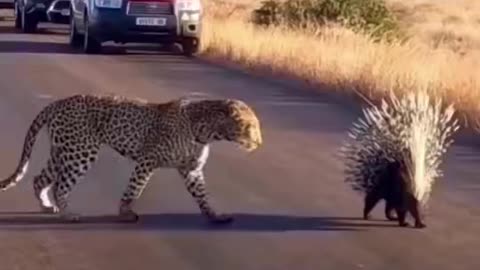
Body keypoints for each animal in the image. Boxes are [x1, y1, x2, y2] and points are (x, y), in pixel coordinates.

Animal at [0, 94, 262, 224]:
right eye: (251, 127)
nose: (260, 143)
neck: (207, 131)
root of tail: (58, 102)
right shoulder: (147, 161)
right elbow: (135, 188)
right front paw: (125, 212)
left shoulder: (191, 171)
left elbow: (203, 196)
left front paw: (215, 216)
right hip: (81, 152)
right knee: (60, 185)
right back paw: (68, 214)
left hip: (63, 151)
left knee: (39, 178)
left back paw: (46, 206)